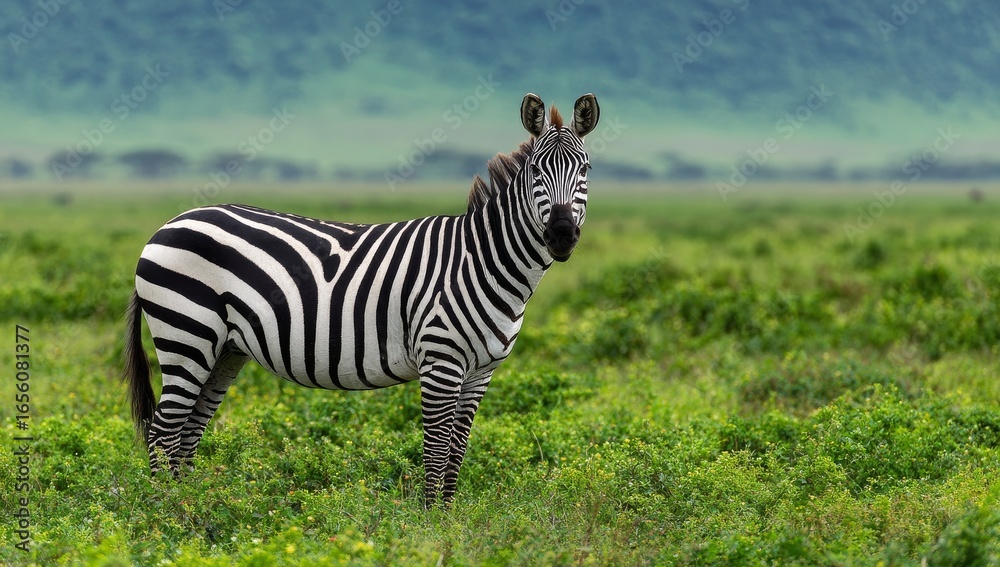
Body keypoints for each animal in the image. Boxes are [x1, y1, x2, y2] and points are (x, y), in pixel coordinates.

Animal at [122, 92, 600, 506]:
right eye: (536, 172)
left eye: (586, 170)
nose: (561, 235)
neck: (481, 261)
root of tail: (168, 224)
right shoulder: (441, 361)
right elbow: (437, 448)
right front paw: (431, 525)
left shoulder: (482, 370)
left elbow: (458, 451)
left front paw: (448, 518)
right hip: (187, 334)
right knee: (163, 432)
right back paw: (165, 514)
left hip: (224, 349)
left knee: (186, 435)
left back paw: (190, 506)